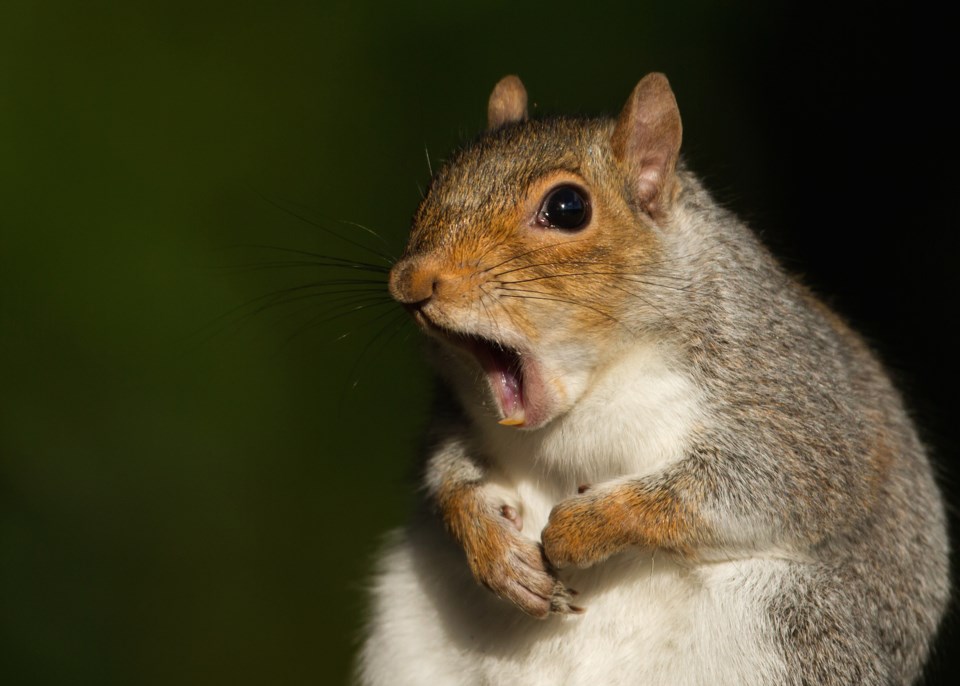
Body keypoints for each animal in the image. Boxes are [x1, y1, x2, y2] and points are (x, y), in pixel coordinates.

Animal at [354, 72, 952, 684]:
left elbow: (757, 487)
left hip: (796, 624)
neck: (593, 388)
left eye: (568, 207)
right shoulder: (456, 413)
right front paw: (493, 547)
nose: (410, 281)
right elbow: (449, 472)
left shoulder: (793, 401)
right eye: (434, 185)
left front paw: (583, 527)